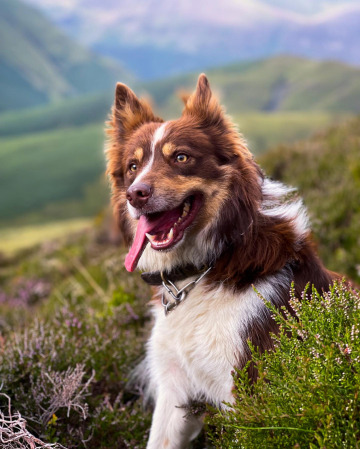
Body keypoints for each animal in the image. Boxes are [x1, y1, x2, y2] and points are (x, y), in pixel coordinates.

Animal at [105, 75, 336, 446]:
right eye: (133, 166)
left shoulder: (246, 388)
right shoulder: (174, 387)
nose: (135, 194)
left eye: (181, 157)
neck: (200, 271)